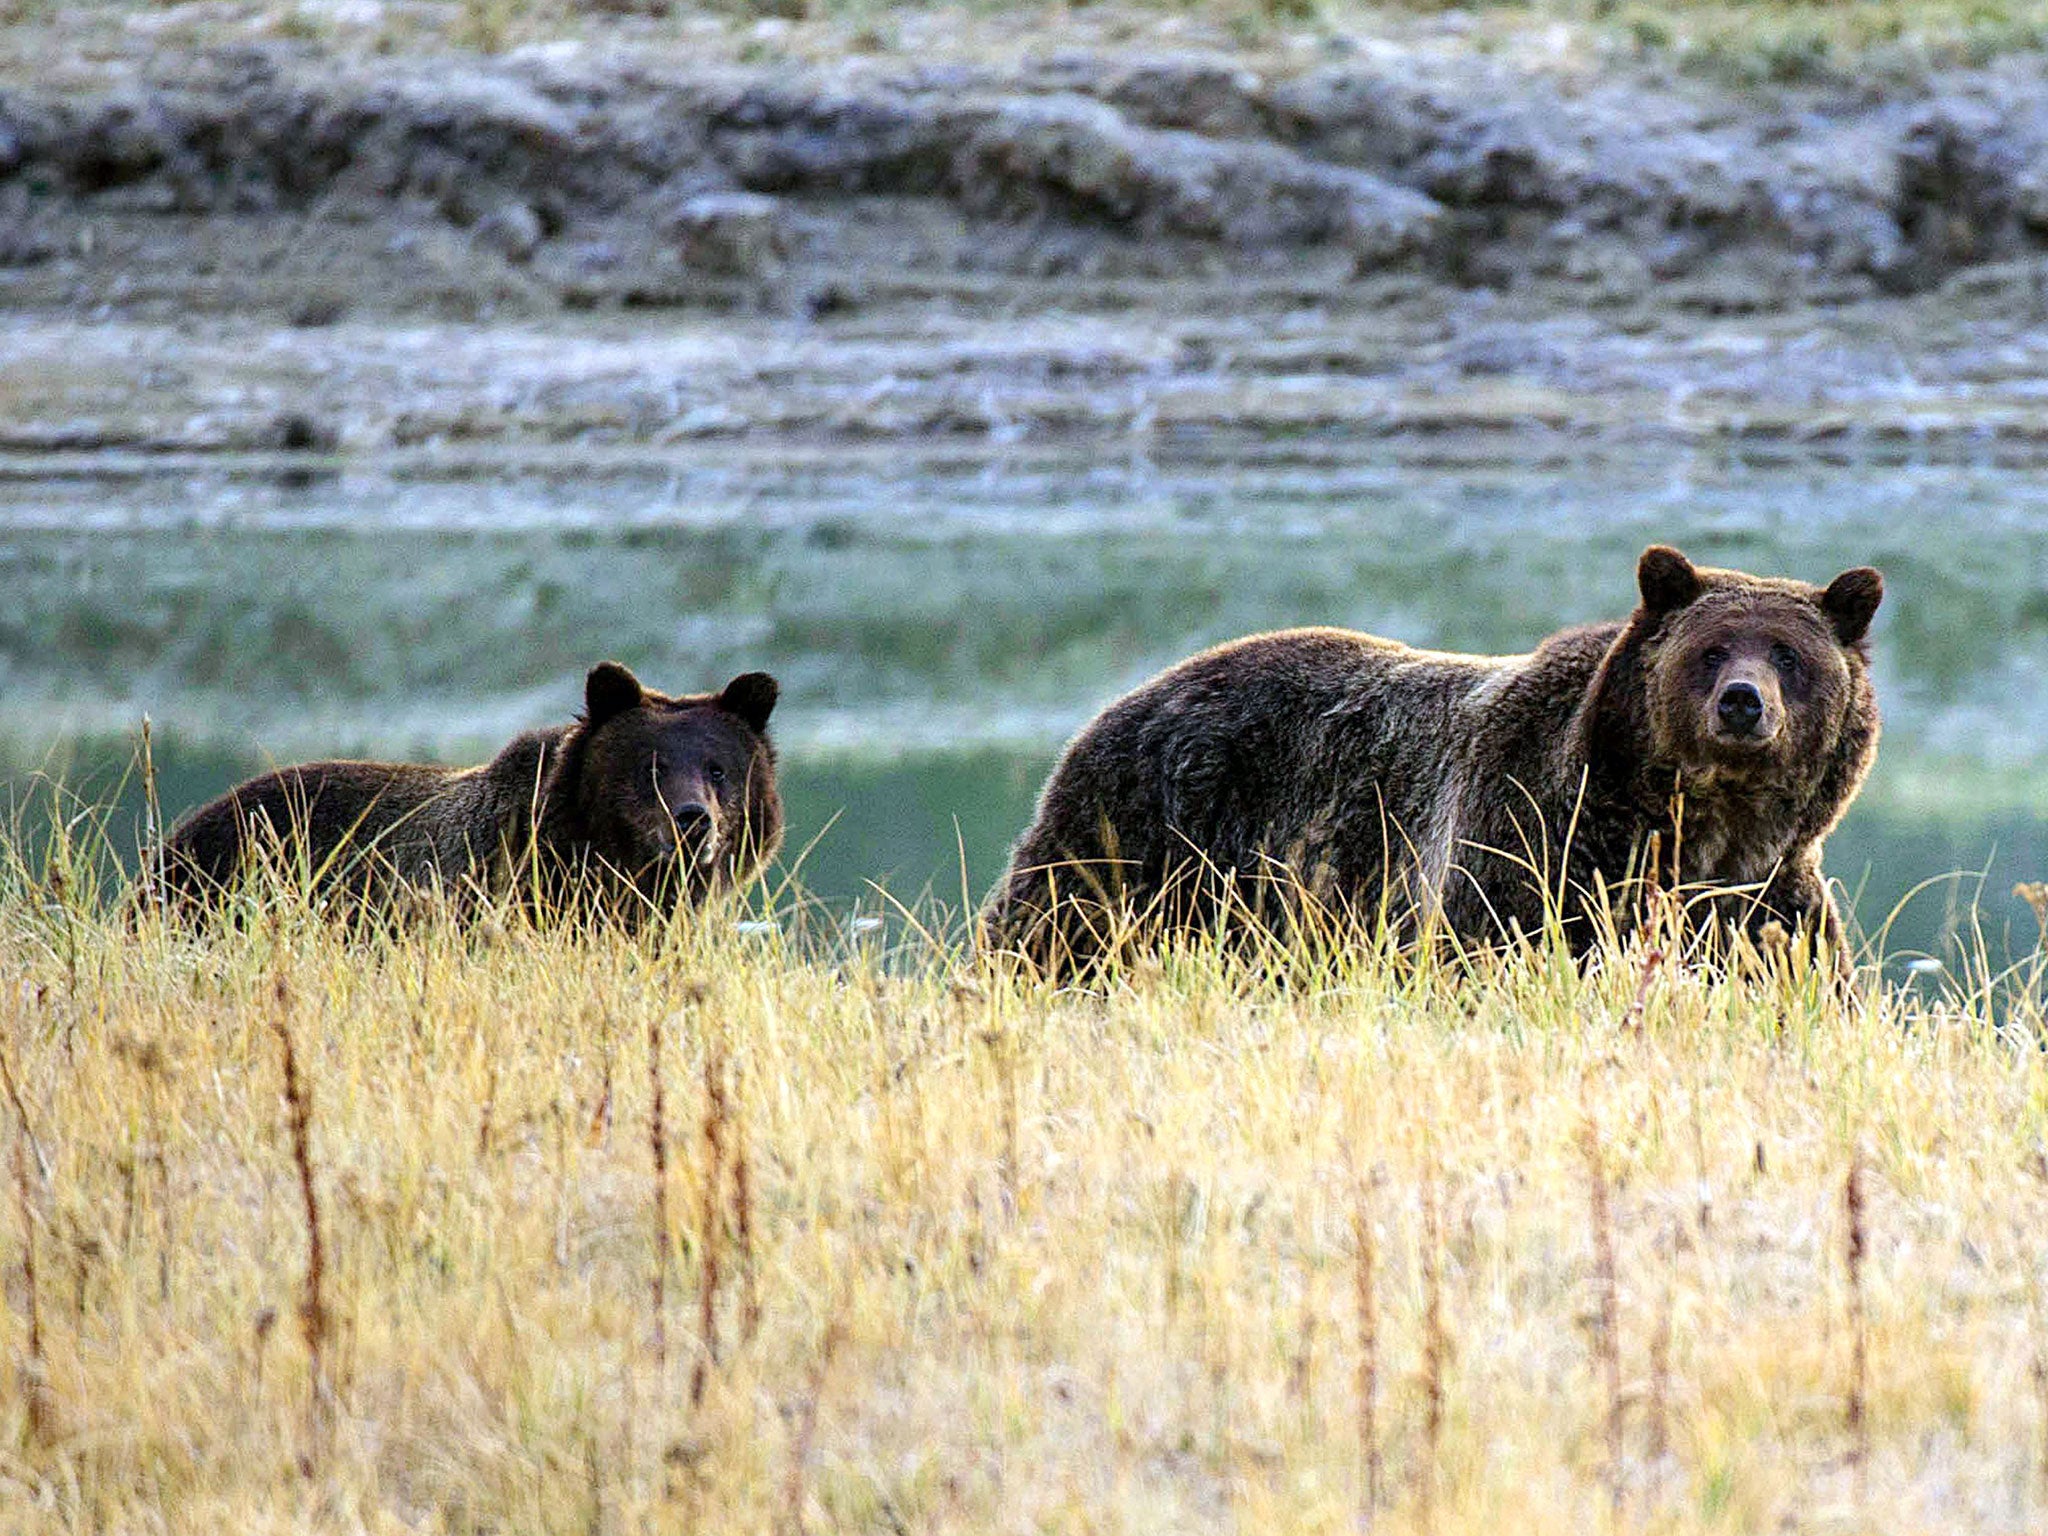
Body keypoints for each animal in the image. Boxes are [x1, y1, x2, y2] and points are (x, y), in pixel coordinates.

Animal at [983, 548, 1875, 974]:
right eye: (1711, 649)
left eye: (1789, 654)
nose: (1743, 703)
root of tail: (1121, 700)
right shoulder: (1529, 850)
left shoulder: (1763, 899)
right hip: (1142, 837)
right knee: (1052, 933)